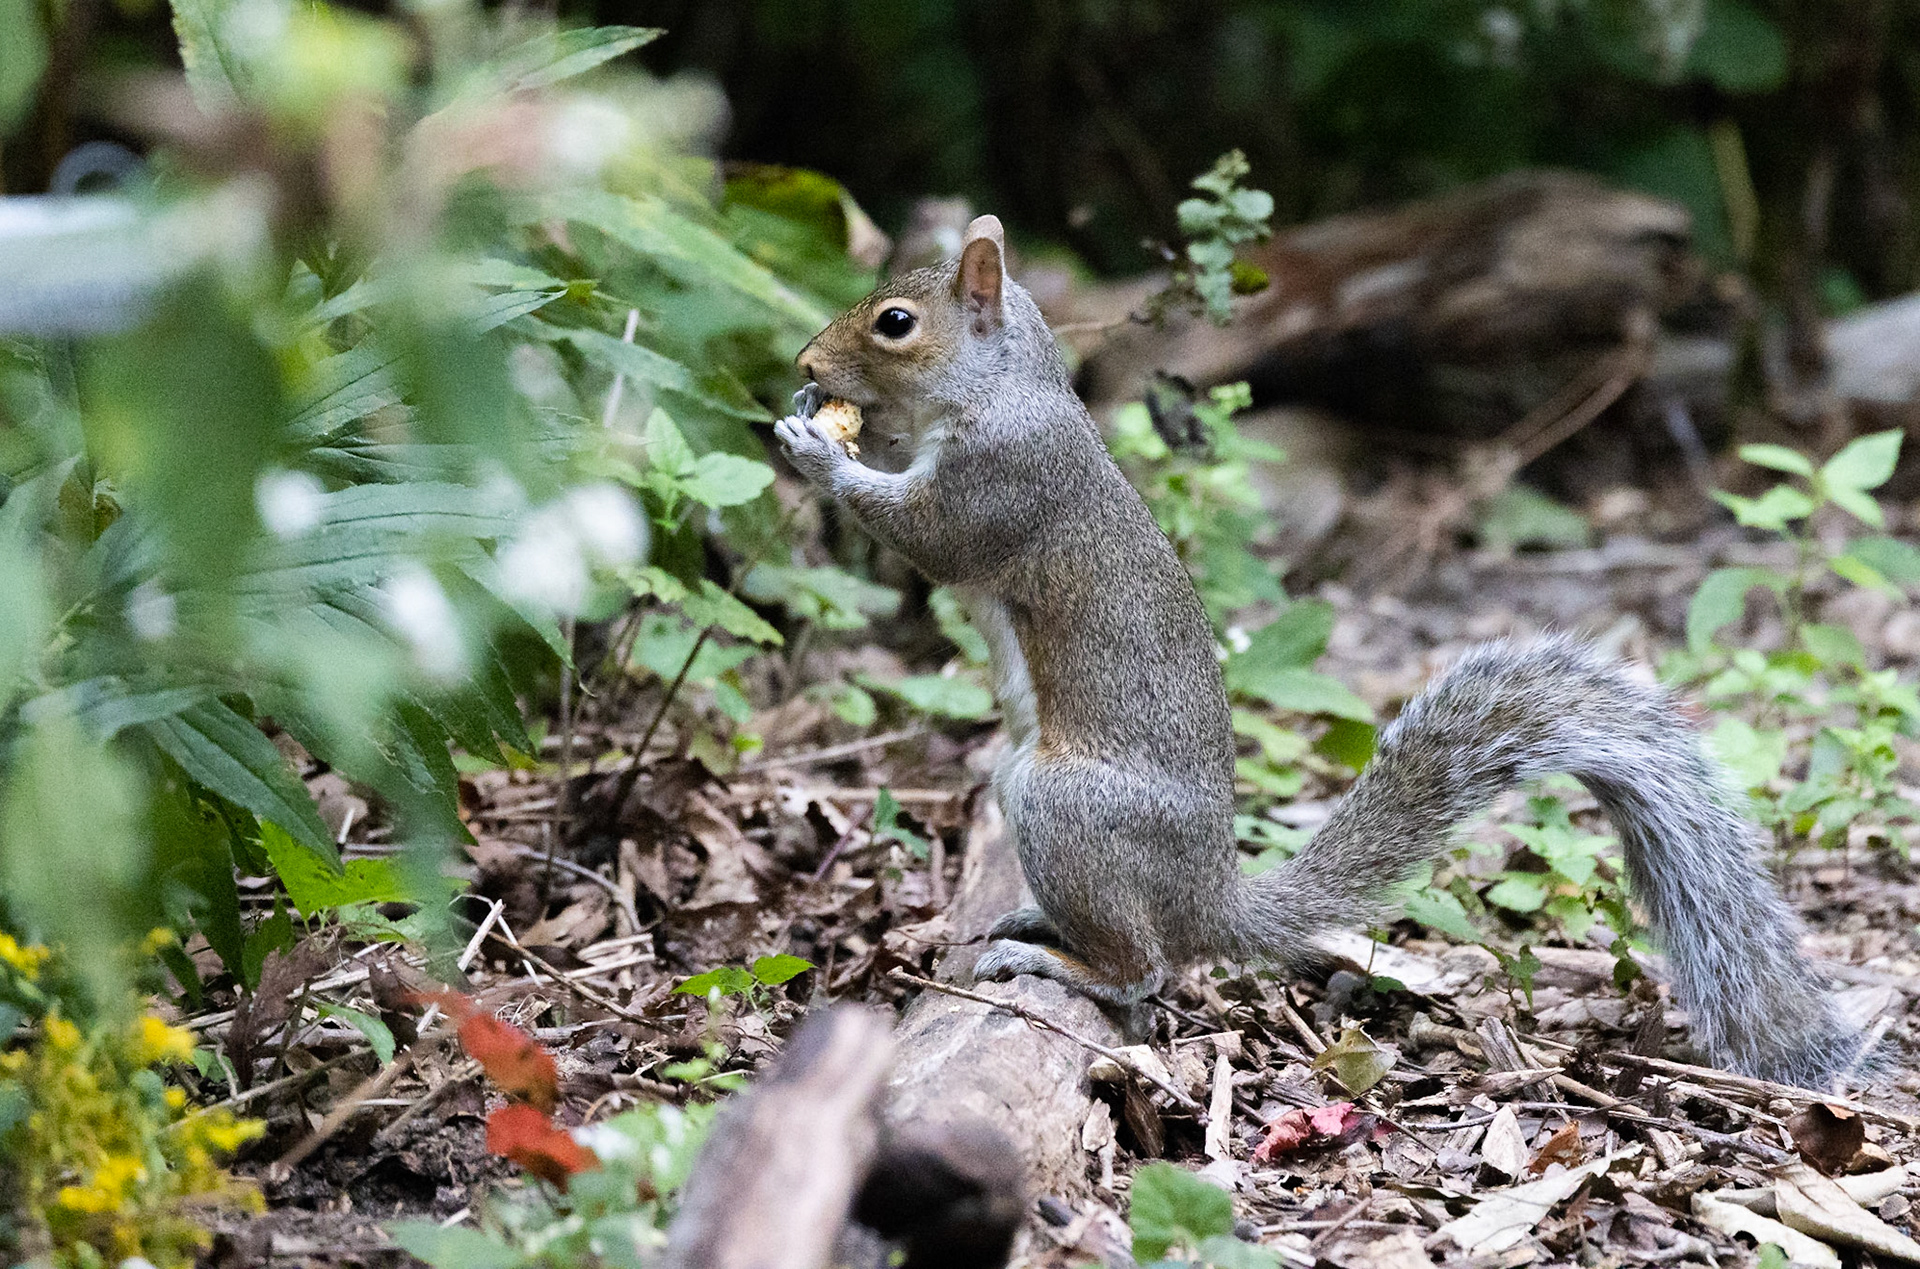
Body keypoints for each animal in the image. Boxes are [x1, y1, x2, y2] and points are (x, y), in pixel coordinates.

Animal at [774, 214, 1861, 1089]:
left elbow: (930, 537)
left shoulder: (1002, 483)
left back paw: (1060, 960)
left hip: (1063, 803)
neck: (1005, 389)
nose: (807, 365)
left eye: (895, 323)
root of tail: (1210, 903)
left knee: (1147, 970)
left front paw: (820, 450)